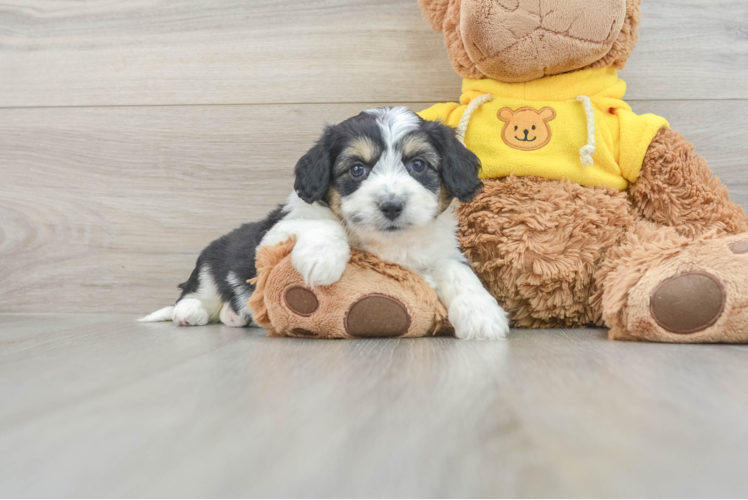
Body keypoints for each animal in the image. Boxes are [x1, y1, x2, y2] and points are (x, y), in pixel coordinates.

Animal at [142, 106, 508, 340]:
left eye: (418, 164)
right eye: (357, 169)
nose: (391, 205)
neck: (387, 245)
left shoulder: (442, 250)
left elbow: (457, 270)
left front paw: (482, 313)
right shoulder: (273, 235)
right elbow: (323, 223)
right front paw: (323, 260)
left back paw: (236, 316)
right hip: (211, 262)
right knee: (195, 291)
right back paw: (190, 312)